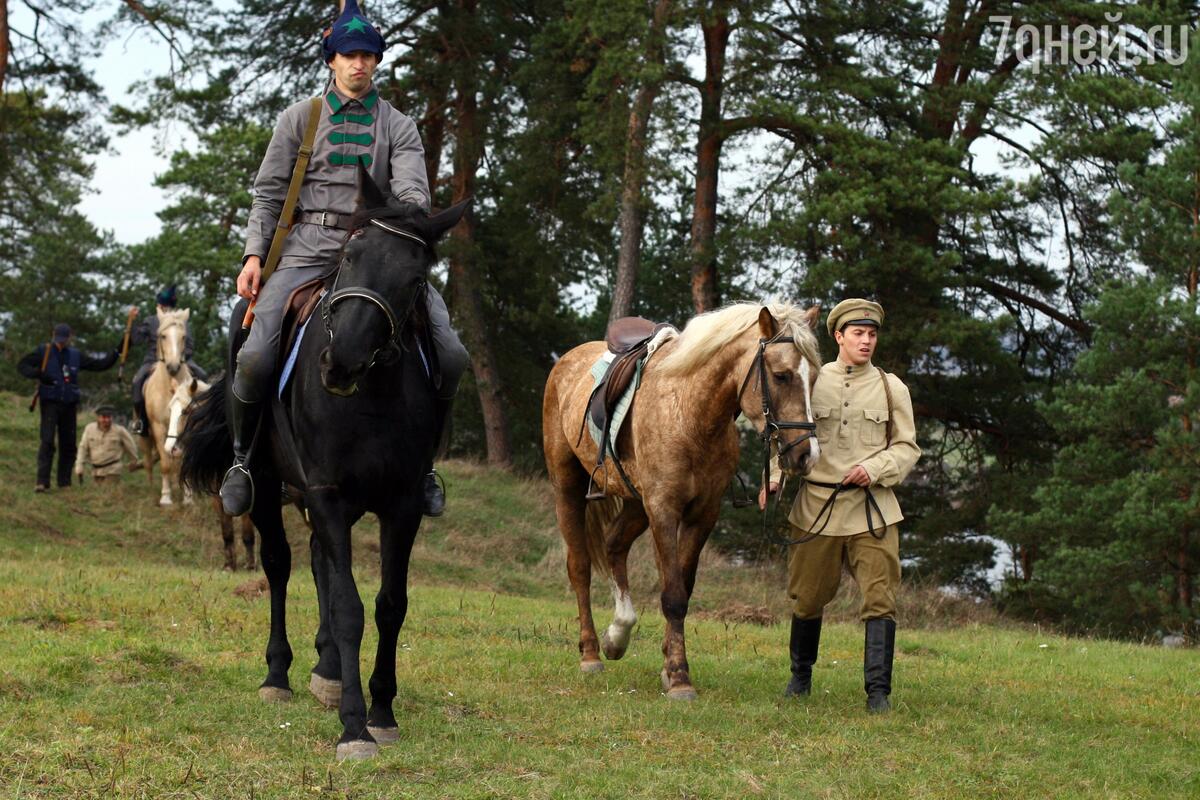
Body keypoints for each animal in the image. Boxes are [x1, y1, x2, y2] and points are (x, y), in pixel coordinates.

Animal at [144, 307, 195, 506]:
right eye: (163, 336)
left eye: (183, 337)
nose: (173, 367)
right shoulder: (158, 427)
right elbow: (165, 463)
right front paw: (165, 497)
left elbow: (182, 460)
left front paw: (188, 497)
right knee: (149, 462)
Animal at [180, 167, 470, 758]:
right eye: (350, 256)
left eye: (414, 279)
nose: (340, 363)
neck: (373, 396)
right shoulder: (329, 495)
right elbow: (347, 607)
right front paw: (355, 727)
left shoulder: (400, 504)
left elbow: (388, 604)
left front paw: (381, 710)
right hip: (270, 487)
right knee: (280, 564)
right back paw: (278, 675)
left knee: (318, 564)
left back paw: (328, 671)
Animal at [544, 303, 825, 695]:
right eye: (781, 376)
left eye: (813, 378)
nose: (805, 455)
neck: (690, 413)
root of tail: (567, 361)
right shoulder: (664, 510)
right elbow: (673, 595)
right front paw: (678, 676)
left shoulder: (701, 515)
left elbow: (682, 588)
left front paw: (668, 665)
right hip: (569, 489)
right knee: (580, 567)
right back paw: (591, 653)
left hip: (636, 503)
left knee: (615, 545)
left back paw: (618, 634)